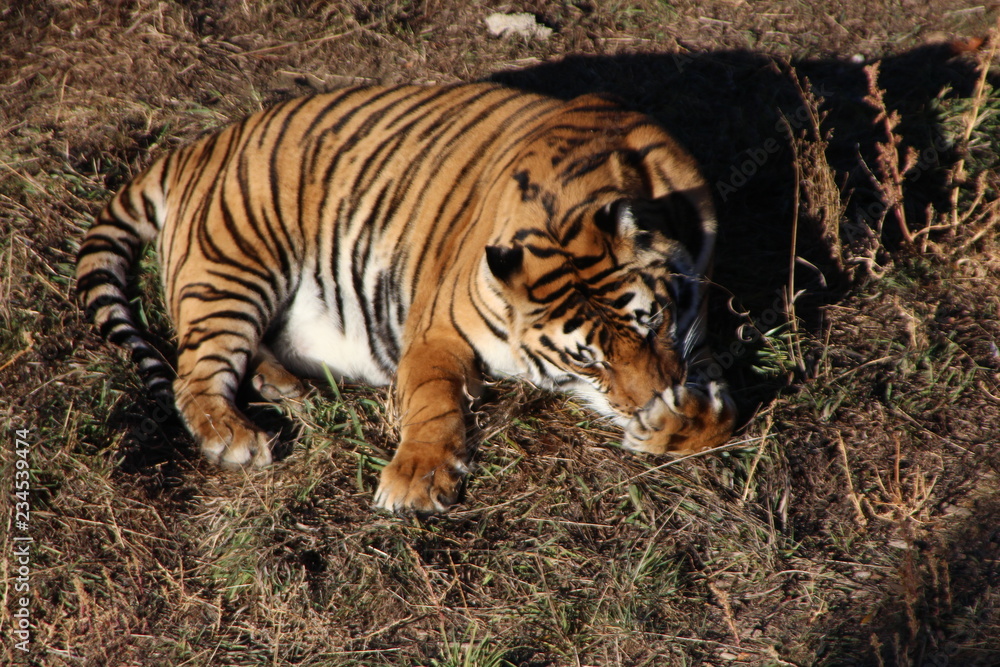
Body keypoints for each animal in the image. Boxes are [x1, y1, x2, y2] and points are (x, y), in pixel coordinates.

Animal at [76, 83, 737, 513]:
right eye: (587, 361)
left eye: (652, 324)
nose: (649, 401)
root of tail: (198, 145)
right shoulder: (437, 331)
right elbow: (432, 403)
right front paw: (415, 479)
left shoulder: (695, 329)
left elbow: (717, 404)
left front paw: (678, 421)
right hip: (231, 270)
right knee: (192, 374)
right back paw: (234, 438)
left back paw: (283, 386)